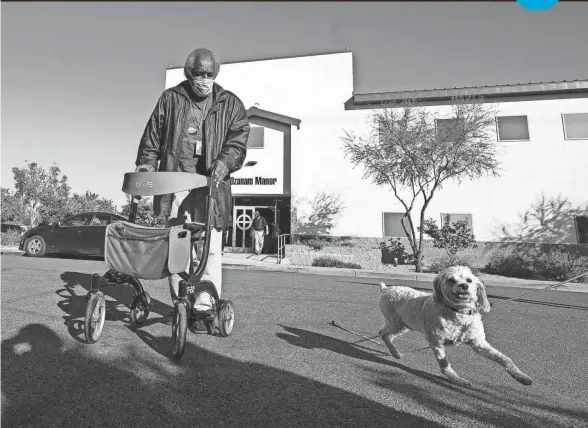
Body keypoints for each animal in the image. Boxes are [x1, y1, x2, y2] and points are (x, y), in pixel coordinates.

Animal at [376, 266, 532, 386]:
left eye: (469, 280)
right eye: (451, 280)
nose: (464, 286)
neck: (459, 313)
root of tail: (386, 289)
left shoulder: (478, 343)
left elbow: (505, 358)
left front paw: (520, 376)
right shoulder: (436, 343)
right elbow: (445, 365)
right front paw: (457, 380)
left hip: (403, 325)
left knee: (386, 335)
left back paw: (394, 352)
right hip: (396, 323)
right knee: (382, 333)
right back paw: (394, 352)